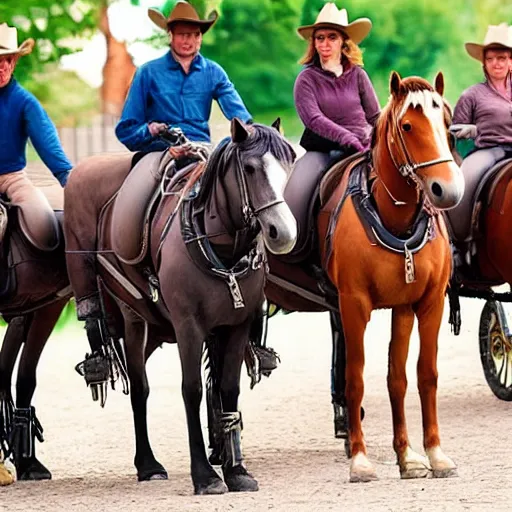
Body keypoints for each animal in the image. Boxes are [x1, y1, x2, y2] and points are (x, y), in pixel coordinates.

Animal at [64, 118, 298, 494]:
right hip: (135, 323)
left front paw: (236, 470)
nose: (283, 232)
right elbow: (192, 390)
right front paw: (205, 475)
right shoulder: (189, 327)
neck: (220, 249)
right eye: (249, 168)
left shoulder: (236, 325)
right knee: (140, 390)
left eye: (288, 164)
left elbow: (227, 389)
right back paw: (147, 464)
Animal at [320, 73, 468, 484]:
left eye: (447, 123)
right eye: (407, 126)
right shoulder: (353, 304)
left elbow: (412, 376)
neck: (393, 218)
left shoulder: (422, 303)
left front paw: (422, 454)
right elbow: (355, 378)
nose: (448, 189)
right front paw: (360, 459)